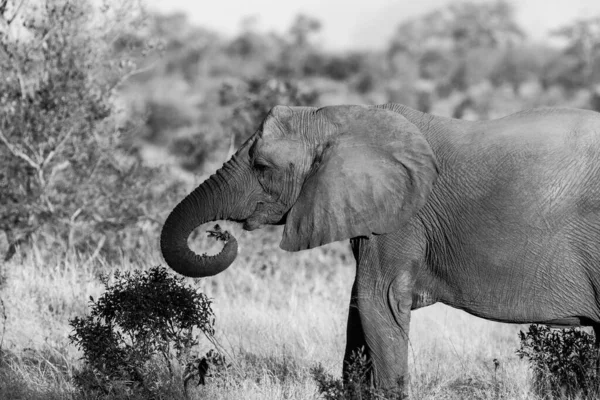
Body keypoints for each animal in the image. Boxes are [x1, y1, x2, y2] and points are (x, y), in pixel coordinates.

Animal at [162, 103, 600, 396]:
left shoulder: (401, 219)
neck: (342, 119)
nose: (222, 234)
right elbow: (359, 309)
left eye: (262, 167)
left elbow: (378, 300)